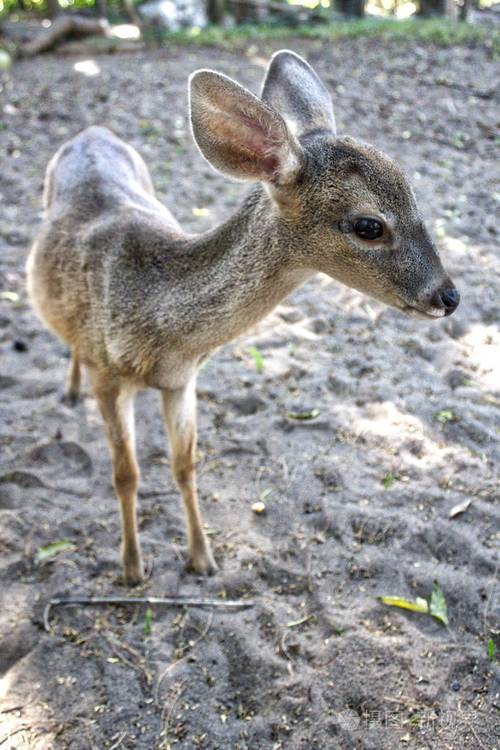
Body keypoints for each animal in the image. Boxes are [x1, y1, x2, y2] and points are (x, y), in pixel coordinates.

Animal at [26, 50, 460, 585]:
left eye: (417, 199)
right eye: (368, 225)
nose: (448, 296)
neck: (157, 329)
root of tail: (91, 131)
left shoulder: (183, 381)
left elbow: (185, 466)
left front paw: (202, 558)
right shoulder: (109, 377)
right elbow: (125, 473)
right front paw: (131, 567)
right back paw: (69, 390)